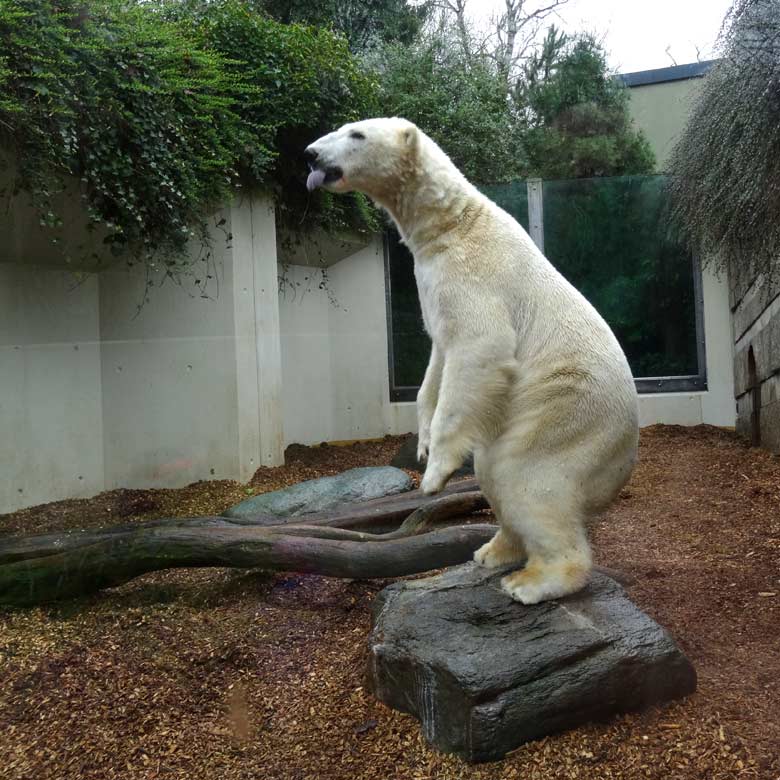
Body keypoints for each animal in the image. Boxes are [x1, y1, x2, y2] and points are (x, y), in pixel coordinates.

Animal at [302, 117, 636, 604]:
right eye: (342, 129)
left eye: (357, 134)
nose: (309, 154)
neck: (453, 222)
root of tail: (625, 459)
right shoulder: (432, 287)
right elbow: (436, 363)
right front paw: (422, 442)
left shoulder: (474, 276)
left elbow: (480, 347)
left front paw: (434, 475)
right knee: (494, 471)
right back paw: (492, 550)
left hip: (566, 412)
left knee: (527, 478)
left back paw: (532, 581)